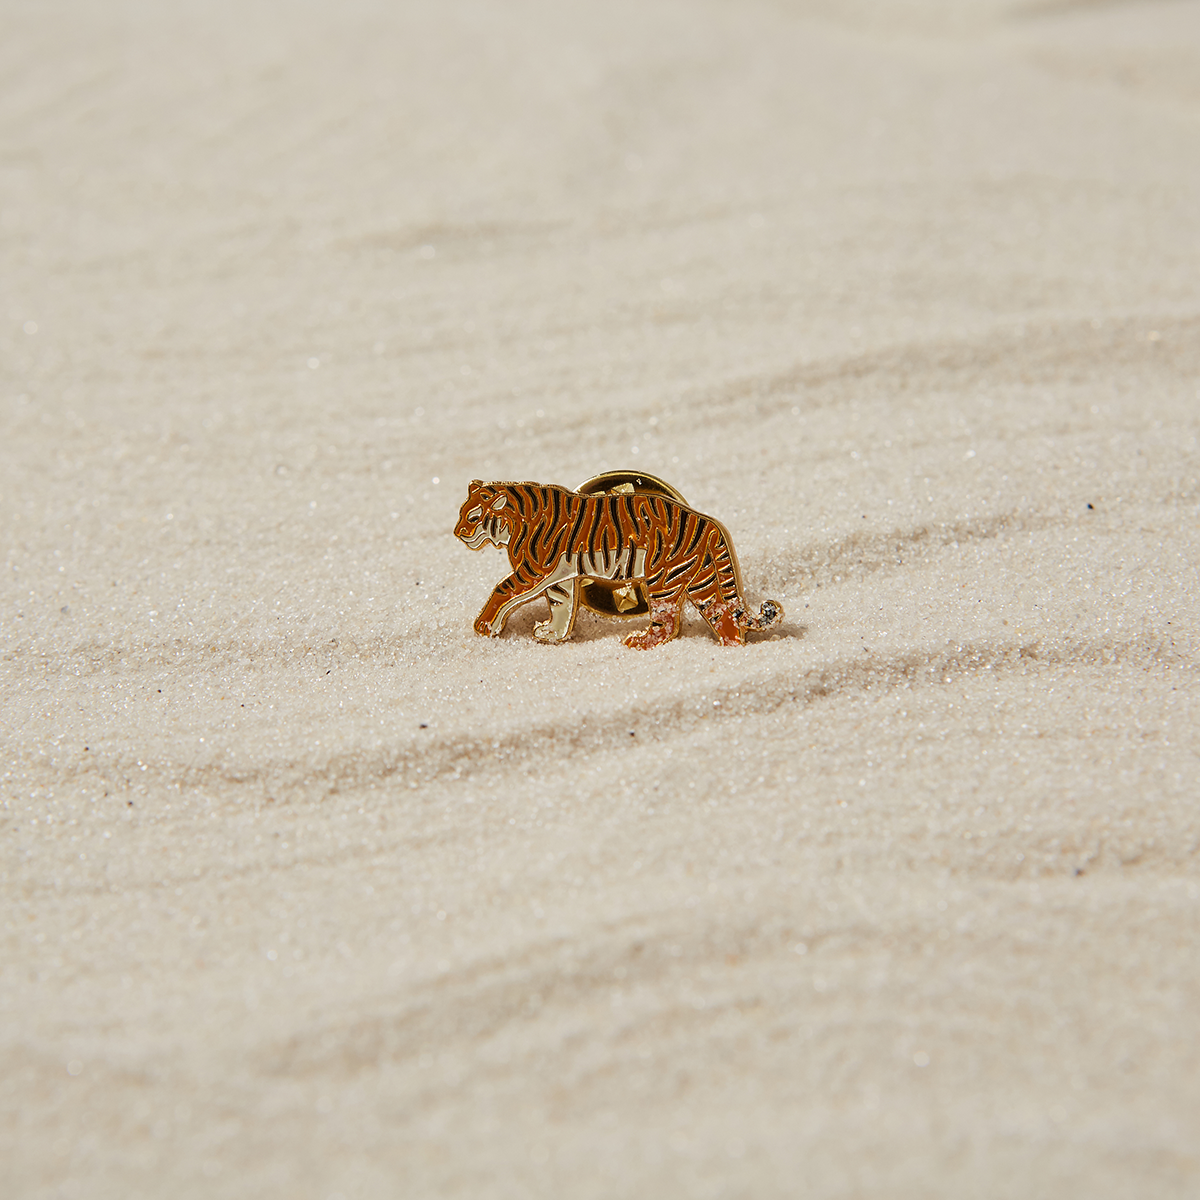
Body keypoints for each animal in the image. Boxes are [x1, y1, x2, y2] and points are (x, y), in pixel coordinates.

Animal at [454, 479, 783, 649]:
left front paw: (485, 626)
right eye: (461, 512)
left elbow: (502, 590)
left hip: (662, 579)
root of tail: (707, 522)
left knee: (666, 622)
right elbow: (561, 606)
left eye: (473, 517)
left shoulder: (534, 571)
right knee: (723, 617)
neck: (513, 522)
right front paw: (553, 635)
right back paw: (732, 649)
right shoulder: (560, 577)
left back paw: (640, 641)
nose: (457, 533)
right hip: (702, 580)